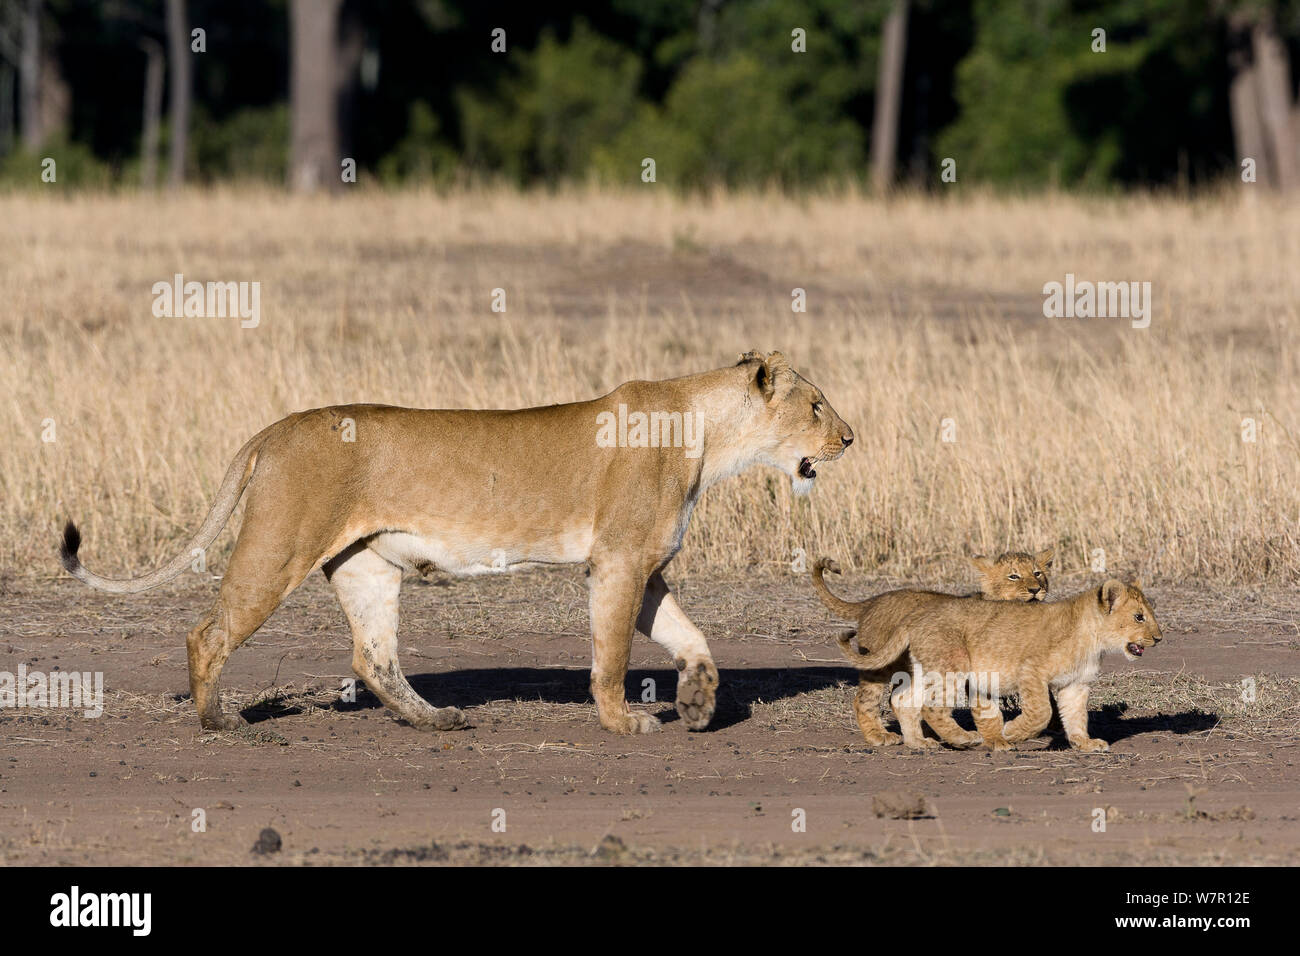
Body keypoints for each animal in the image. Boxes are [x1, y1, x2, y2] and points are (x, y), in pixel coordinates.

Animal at [59, 350, 853, 736]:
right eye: (816, 405)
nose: (849, 438)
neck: (709, 438)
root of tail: (275, 428)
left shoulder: (648, 568)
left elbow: (694, 640)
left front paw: (696, 705)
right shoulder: (618, 562)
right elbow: (612, 655)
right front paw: (624, 722)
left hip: (367, 564)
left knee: (374, 657)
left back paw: (436, 721)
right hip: (280, 545)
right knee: (208, 631)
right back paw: (219, 722)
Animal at [810, 550, 1051, 748]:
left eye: (1037, 573)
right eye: (1013, 576)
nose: (1035, 589)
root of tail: (871, 601)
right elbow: (986, 709)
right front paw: (996, 740)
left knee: (902, 700)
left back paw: (919, 741)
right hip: (884, 666)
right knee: (865, 700)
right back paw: (879, 736)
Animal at [832, 580, 1162, 752]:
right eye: (1139, 617)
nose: (1159, 638)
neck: (1093, 638)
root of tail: (917, 615)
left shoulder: (1075, 684)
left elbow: (1076, 716)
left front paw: (1085, 743)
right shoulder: (1031, 671)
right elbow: (1041, 713)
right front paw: (1011, 733)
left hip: (927, 668)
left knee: (904, 700)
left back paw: (919, 743)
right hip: (953, 664)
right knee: (931, 706)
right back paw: (963, 738)